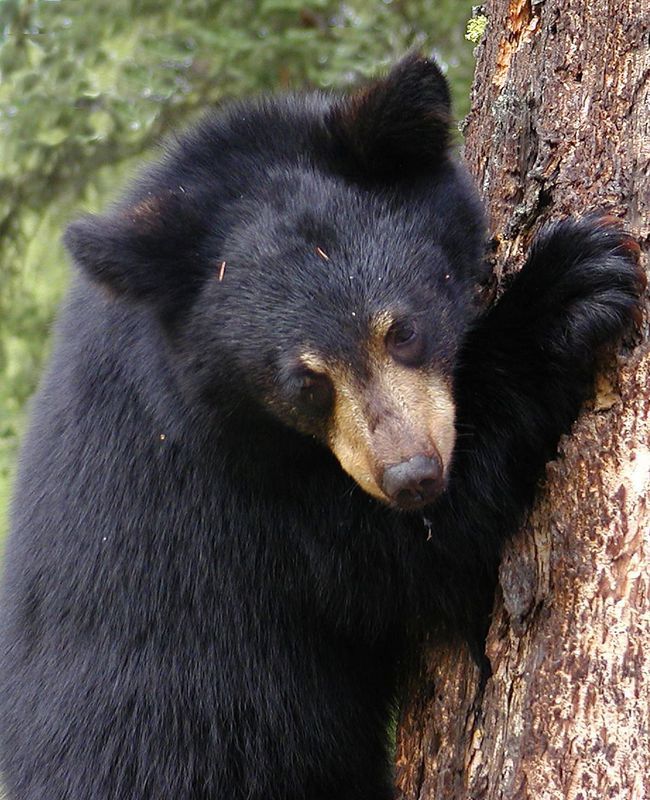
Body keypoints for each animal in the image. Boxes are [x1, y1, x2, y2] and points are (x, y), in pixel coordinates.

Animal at [0, 56, 644, 800]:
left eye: (403, 331)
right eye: (305, 383)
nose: (412, 476)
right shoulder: (240, 499)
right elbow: (407, 551)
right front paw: (567, 288)